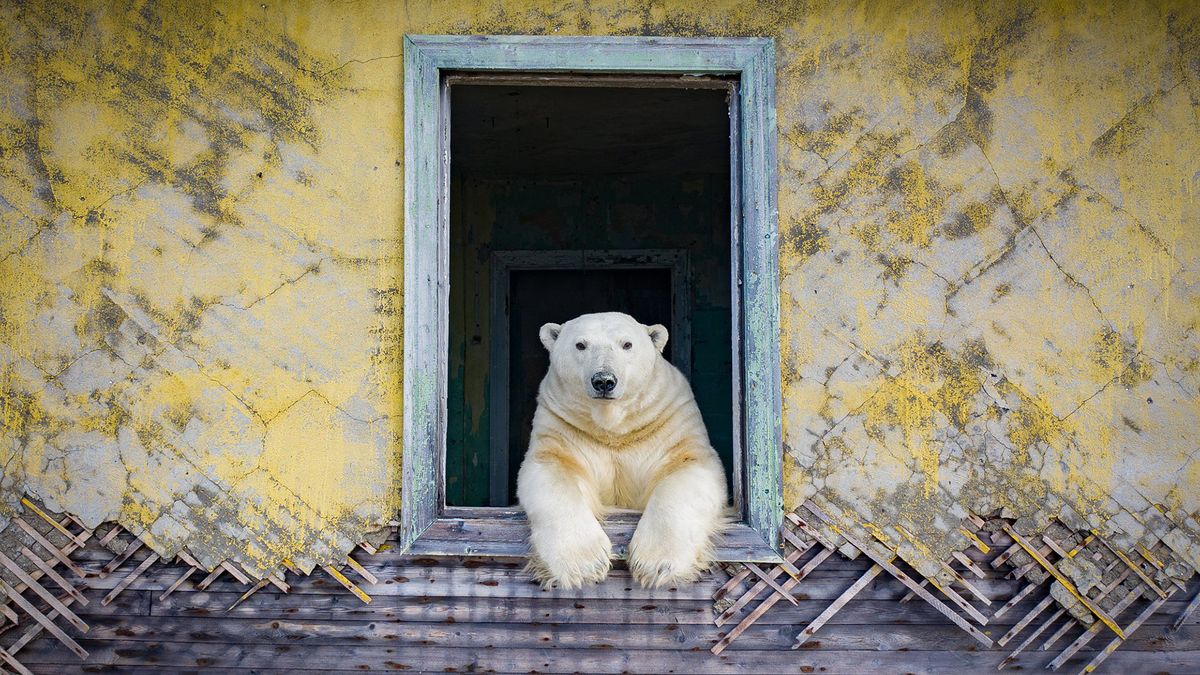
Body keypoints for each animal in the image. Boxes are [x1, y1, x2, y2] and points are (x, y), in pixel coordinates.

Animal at [518, 312, 729, 586]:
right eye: (580, 345)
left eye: (627, 344)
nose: (604, 381)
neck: (614, 428)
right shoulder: (562, 426)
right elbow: (552, 471)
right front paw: (584, 565)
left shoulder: (669, 421)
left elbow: (686, 469)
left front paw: (656, 564)